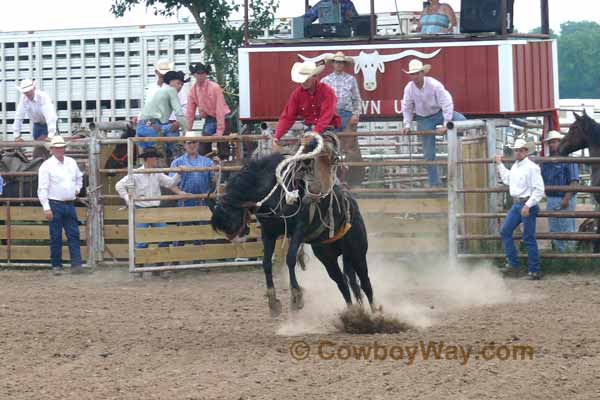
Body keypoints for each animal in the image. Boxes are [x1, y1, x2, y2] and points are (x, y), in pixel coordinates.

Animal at [209, 136, 372, 318]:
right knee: (343, 282)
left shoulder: (299, 230)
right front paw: (273, 302)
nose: (237, 239)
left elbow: (290, 258)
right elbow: (266, 263)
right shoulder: (269, 233)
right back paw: (353, 314)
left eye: (230, 220)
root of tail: (352, 204)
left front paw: (296, 297)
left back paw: (376, 315)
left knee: (365, 284)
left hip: (357, 252)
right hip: (328, 257)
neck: (275, 191)